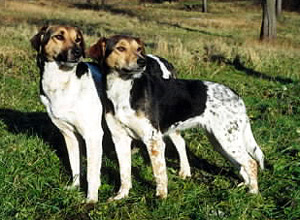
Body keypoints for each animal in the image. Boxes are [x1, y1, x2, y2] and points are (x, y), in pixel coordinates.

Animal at [31, 25, 104, 203]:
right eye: (59, 36)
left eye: (78, 39)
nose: (78, 52)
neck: (62, 82)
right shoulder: (69, 135)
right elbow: (74, 165)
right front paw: (74, 188)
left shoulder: (93, 135)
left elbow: (92, 173)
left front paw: (91, 199)